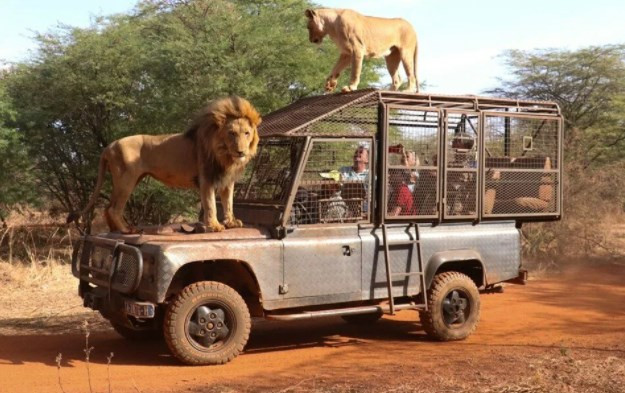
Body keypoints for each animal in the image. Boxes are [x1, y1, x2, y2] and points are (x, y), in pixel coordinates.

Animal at [67, 96, 260, 233]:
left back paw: (115, 230)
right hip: (126, 180)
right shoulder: (206, 179)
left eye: (246, 133)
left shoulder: (227, 180)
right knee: (114, 208)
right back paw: (126, 230)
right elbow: (211, 204)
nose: (241, 152)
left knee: (108, 208)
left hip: (128, 180)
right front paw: (214, 226)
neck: (225, 155)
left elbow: (228, 203)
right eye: (232, 133)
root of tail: (109, 145)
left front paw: (231, 222)